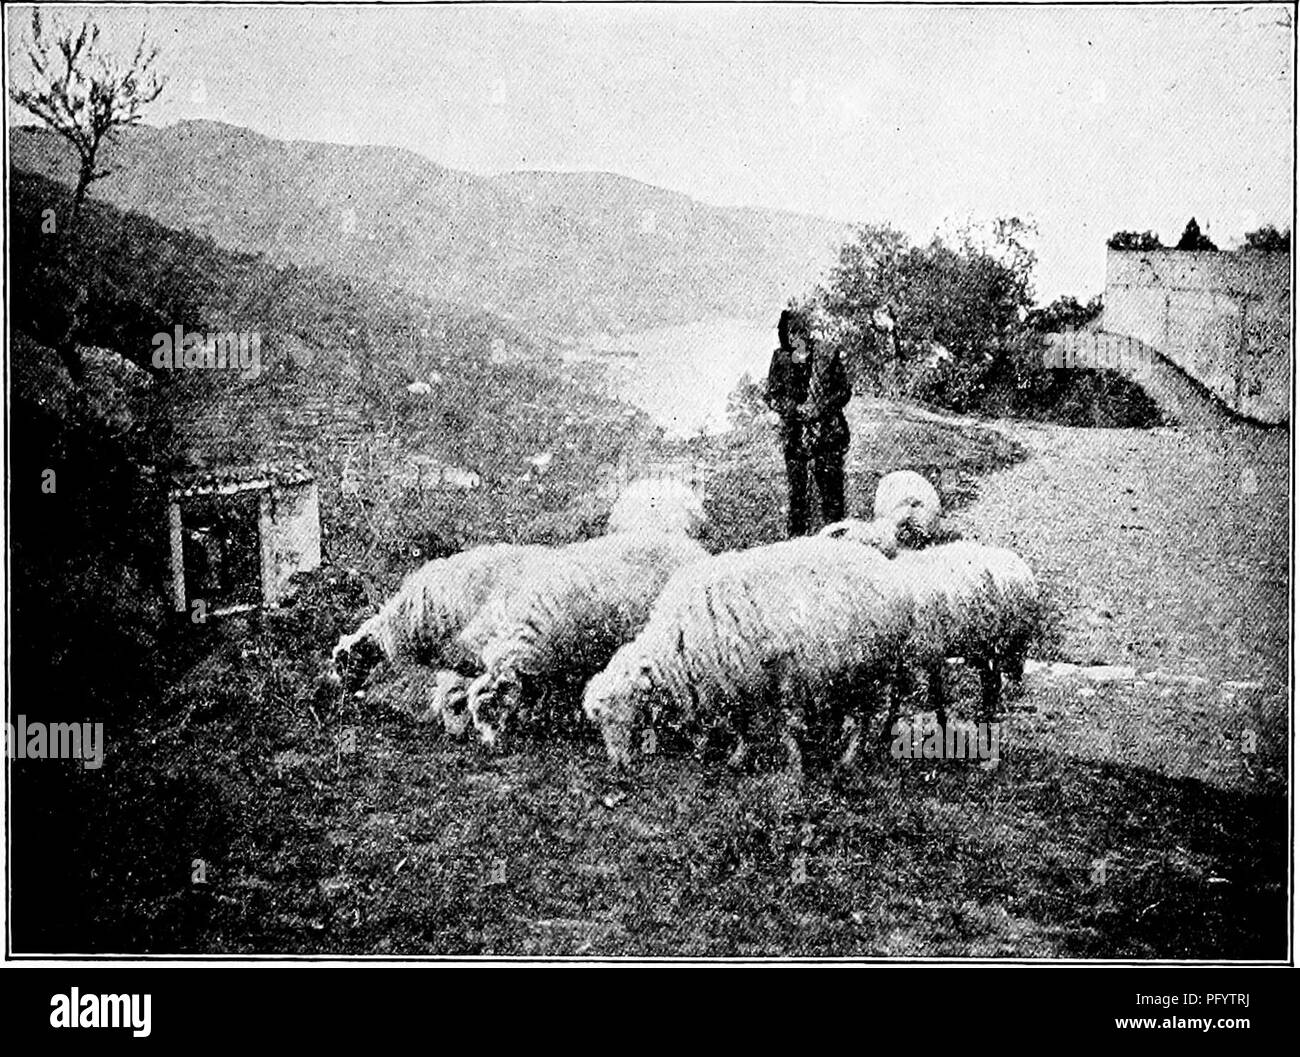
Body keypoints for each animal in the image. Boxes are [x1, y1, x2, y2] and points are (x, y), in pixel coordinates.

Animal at [585, 535, 909, 774]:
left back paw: (848, 759)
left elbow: (763, 722)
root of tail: (887, 570)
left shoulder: (753, 674)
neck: (677, 642)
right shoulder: (733, 678)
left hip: (869, 667)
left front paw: (785, 765)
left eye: (609, 715)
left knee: (865, 717)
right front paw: (731, 754)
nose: (618, 765)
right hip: (843, 668)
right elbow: (740, 719)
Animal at [889, 540, 1040, 728]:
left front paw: (943, 727)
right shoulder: (904, 657)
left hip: (1003, 640)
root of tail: (1022, 568)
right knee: (989, 680)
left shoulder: (932, 649)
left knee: (994, 681)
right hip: (979, 644)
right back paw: (984, 715)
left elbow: (935, 694)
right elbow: (896, 695)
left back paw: (986, 717)